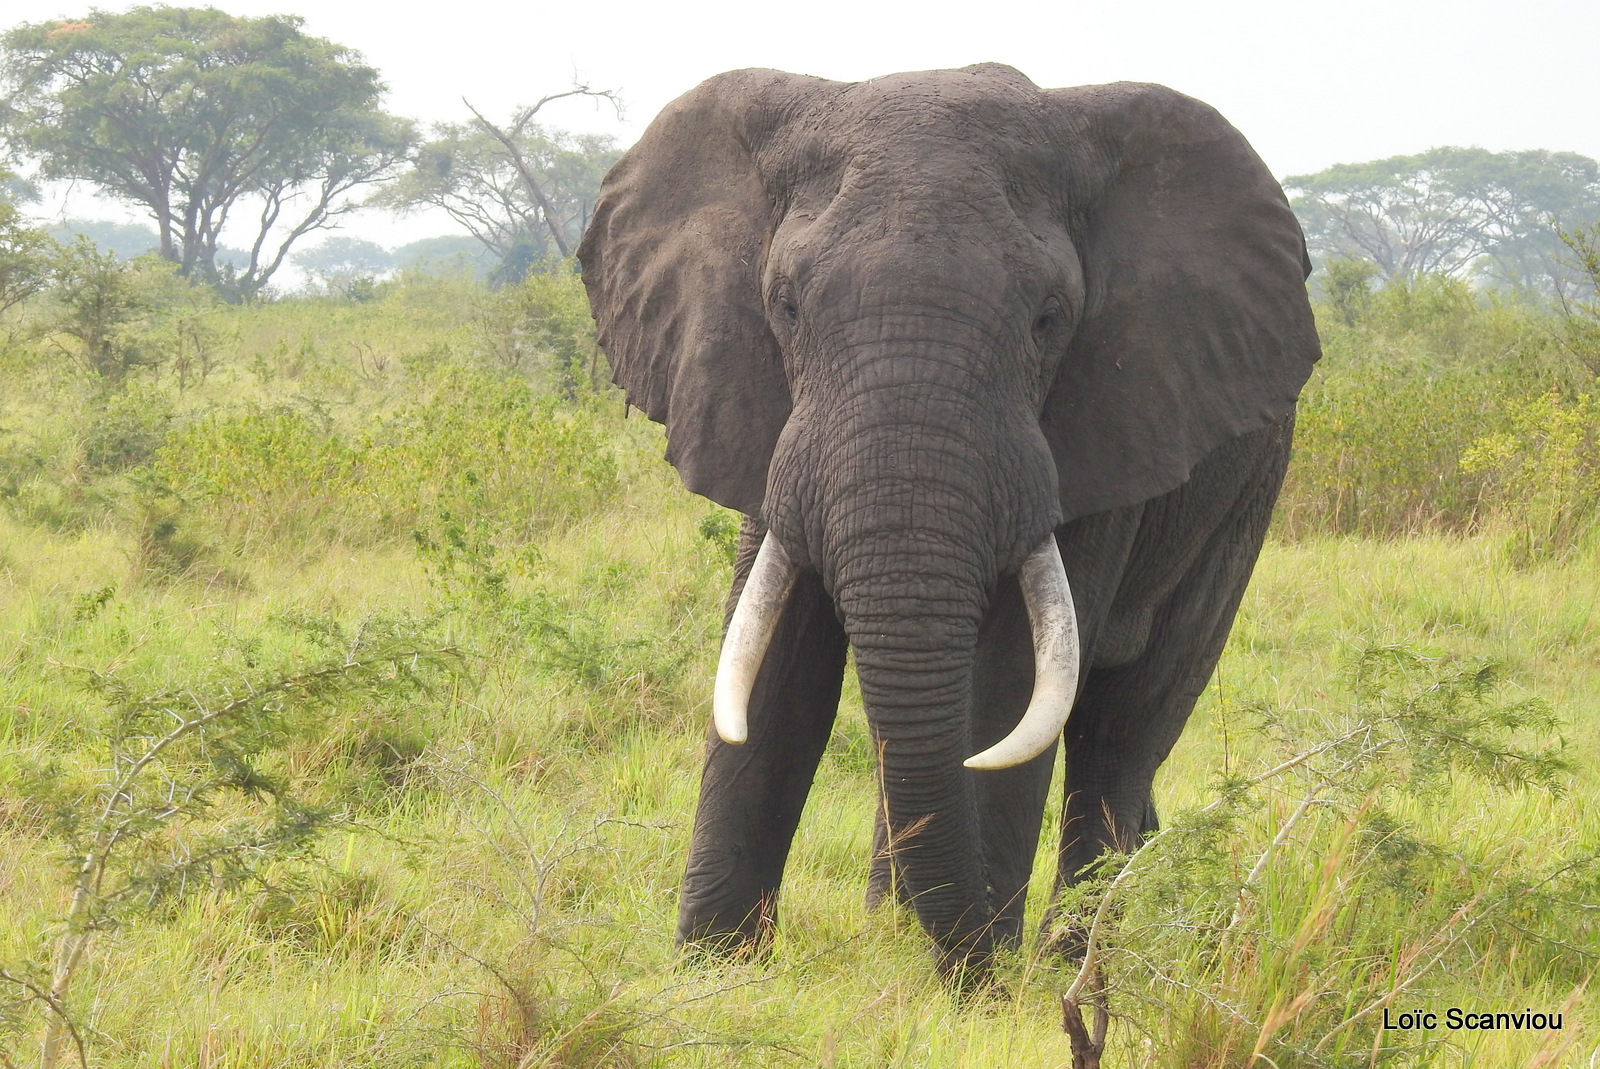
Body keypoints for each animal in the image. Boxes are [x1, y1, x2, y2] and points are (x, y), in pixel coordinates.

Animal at [582, 60, 1318, 979]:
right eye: (784, 307)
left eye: (1048, 319)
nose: (974, 962)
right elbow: (775, 665)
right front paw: (711, 971)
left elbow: (1008, 684)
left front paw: (974, 987)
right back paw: (903, 925)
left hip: (1250, 487)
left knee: (1126, 724)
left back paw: (1070, 964)